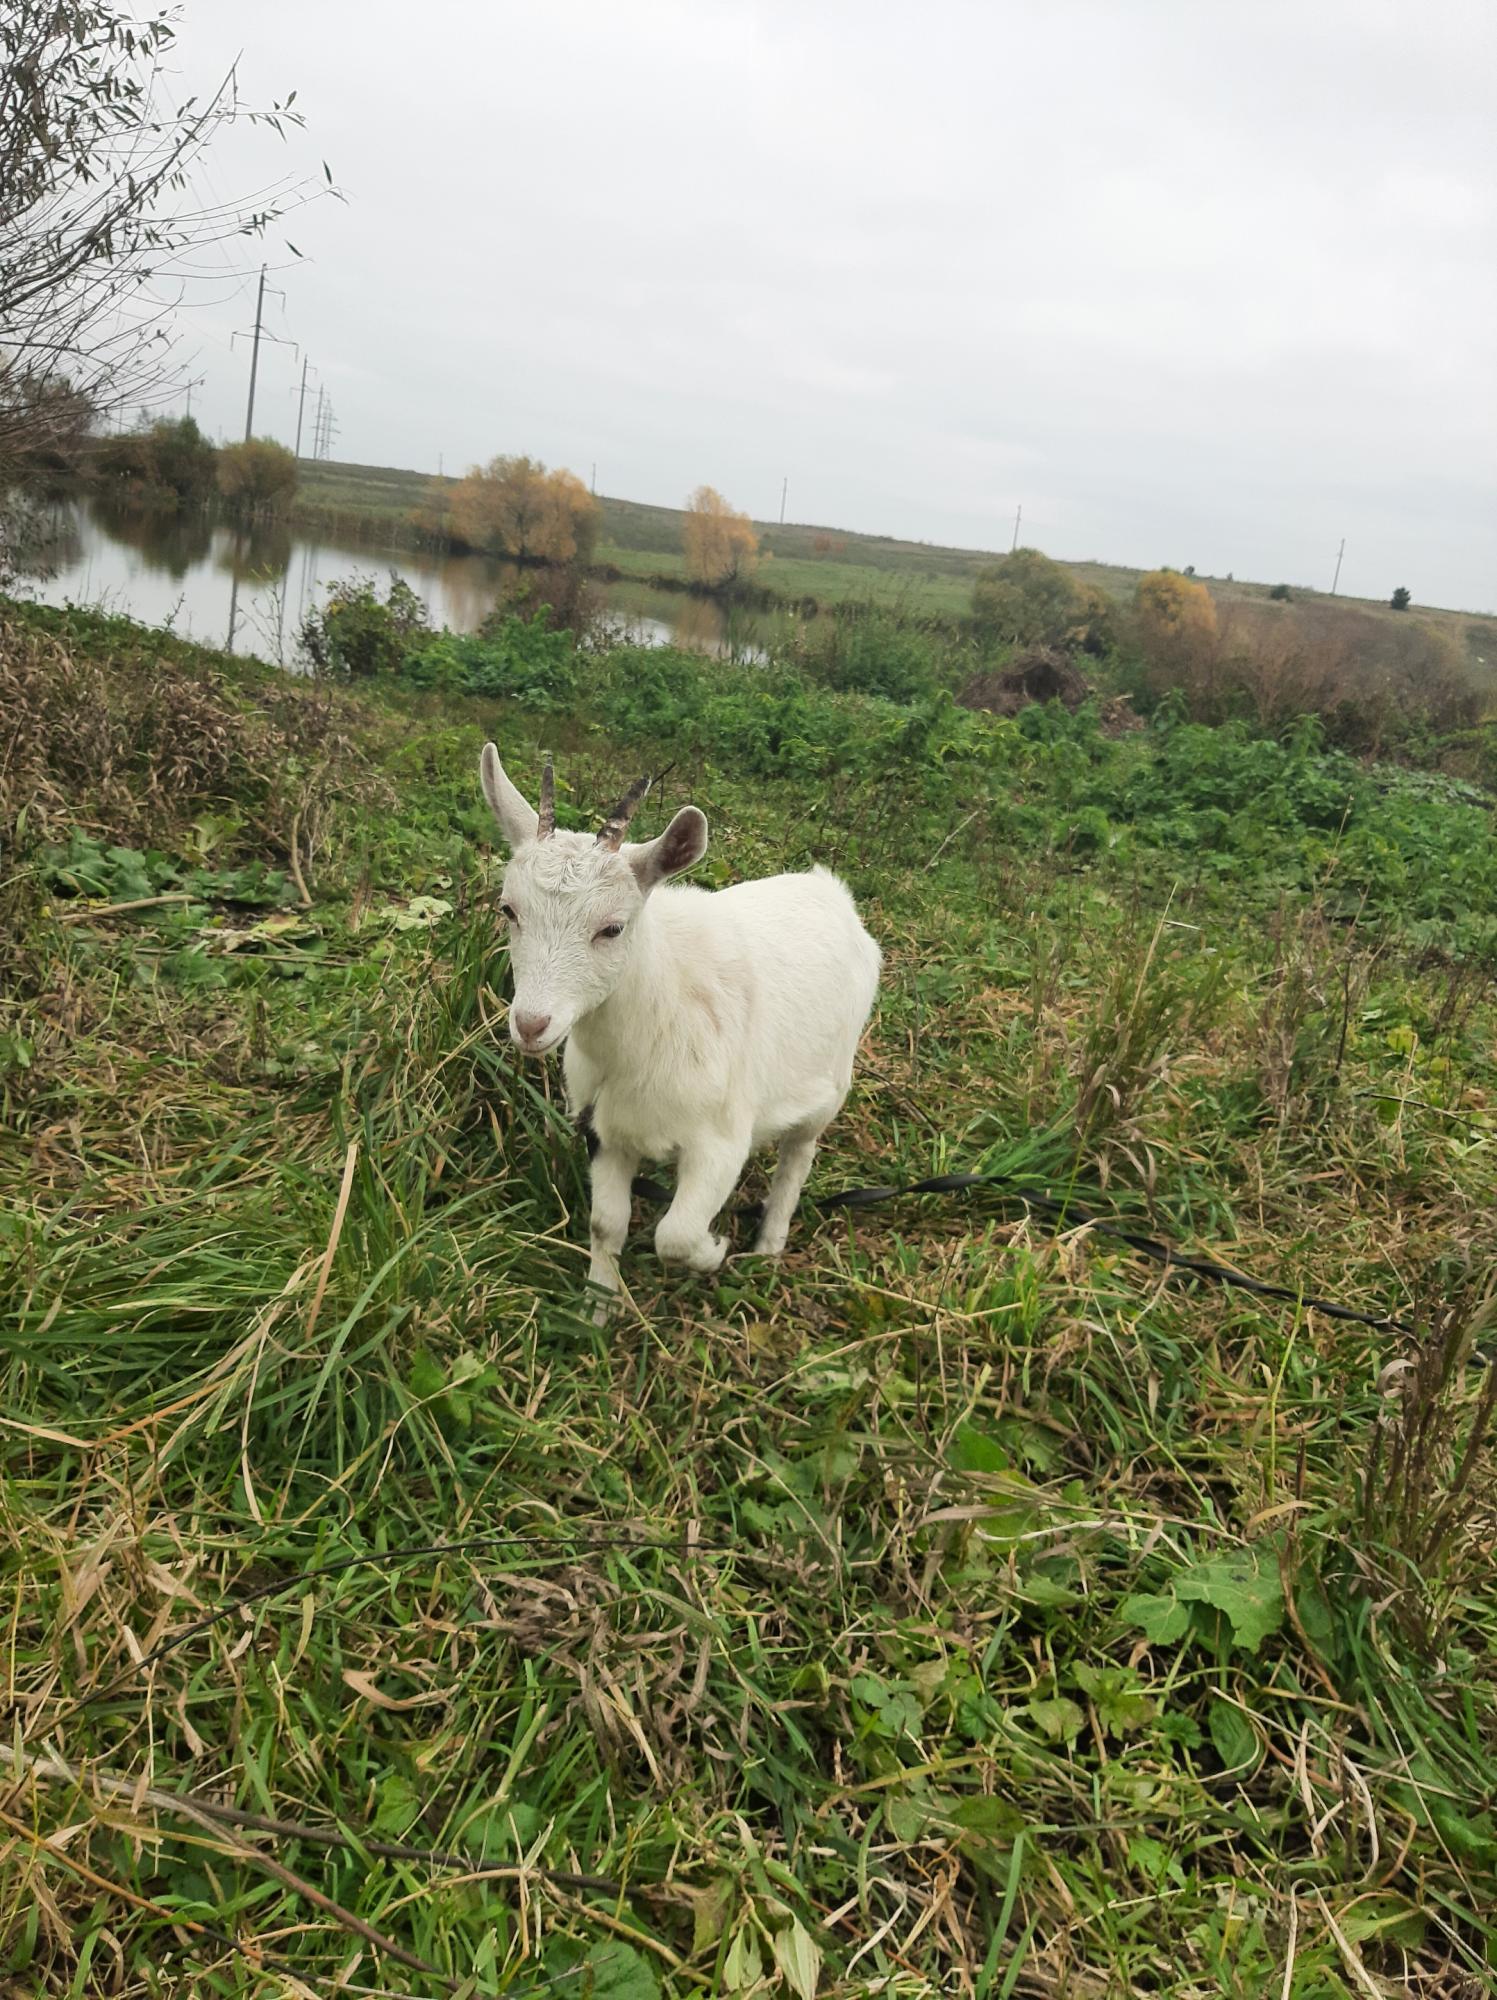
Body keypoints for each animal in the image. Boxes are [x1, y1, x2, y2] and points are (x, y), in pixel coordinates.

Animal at [480, 740, 884, 1296]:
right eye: (508, 910)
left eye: (612, 928)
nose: (531, 1025)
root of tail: (830, 891)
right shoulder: (606, 1132)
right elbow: (605, 1225)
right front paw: (599, 1305)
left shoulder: (721, 1141)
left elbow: (675, 1234)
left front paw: (713, 1250)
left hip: (831, 1081)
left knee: (799, 1154)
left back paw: (768, 1244)